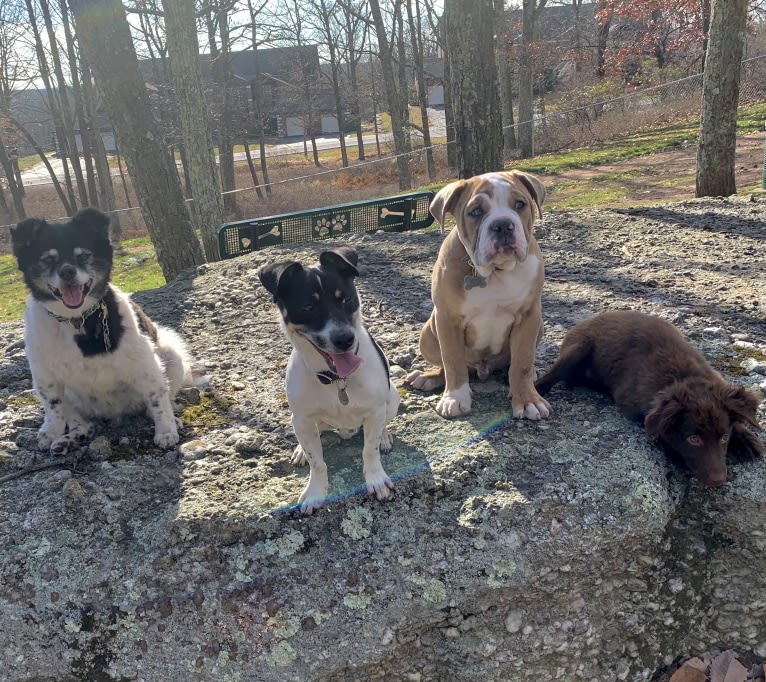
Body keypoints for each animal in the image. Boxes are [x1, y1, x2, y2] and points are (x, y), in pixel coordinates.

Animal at [11, 207, 195, 452]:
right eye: (48, 259)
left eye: (83, 255)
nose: (67, 271)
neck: (75, 321)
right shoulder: (45, 374)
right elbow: (54, 407)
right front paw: (51, 432)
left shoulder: (145, 364)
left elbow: (157, 400)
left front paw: (166, 431)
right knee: (79, 420)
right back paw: (72, 437)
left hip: (171, 356)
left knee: (157, 402)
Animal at [260, 247, 402, 512]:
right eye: (307, 306)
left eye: (345, 299)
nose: (345, 339)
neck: (337, 379)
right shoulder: (303, 418)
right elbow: (317, 462)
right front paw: (315, 491)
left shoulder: (375, 410)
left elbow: (370, 450)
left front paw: (376, 479)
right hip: (302, 421)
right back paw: (301, 450)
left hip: (393, 398)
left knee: (383, 424)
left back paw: (385, 436)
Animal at [408, 167, 552, 418]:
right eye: (475, 212)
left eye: (520, 204)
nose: (503, 224)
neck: (495, 272)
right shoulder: (448, 320)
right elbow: (452, 361)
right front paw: (455, 398)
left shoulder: (529, 316)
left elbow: (522, 363)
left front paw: (528, 400)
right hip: (428, 333)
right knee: (446, 364)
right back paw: (428, 377)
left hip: (539, 326)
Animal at [536, 308, 764, 484]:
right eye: (693, 439)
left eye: (724, 437)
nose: (718, 481)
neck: (682, 377)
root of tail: (587, 320)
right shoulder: (634, 405)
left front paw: (746, 438)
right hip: (577, 348)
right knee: (552, 377)